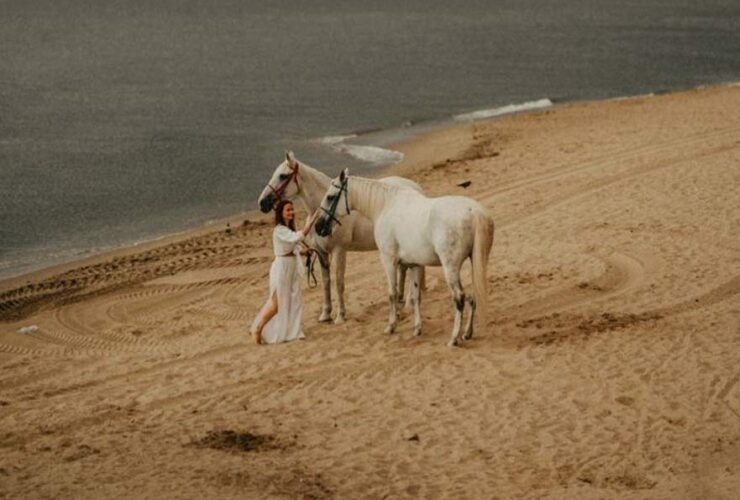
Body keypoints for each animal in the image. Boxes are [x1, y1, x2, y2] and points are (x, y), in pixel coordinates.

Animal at [257, 152, 424, 324]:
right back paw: (401, 299)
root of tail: (415, 188)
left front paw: (340, 316)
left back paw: (409, 303)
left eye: (283, 176)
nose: (262, 202)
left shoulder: (339, 251)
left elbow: (339, 282)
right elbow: (326, 282)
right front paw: (325, 314)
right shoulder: (321, 252)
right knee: (404, 268)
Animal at [315, 169, 494, 346]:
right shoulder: (414, 264)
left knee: (459, 298)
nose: (318, 227)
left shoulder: (388, 260)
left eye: (330, 196)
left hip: (450, 267)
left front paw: (391, 326)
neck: (385, 206)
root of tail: (474, 212)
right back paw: (467, 333)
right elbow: (415, 297)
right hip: (475, 262)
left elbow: (392, 293)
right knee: (473, 297)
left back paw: (454, 338)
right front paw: (417, 328)